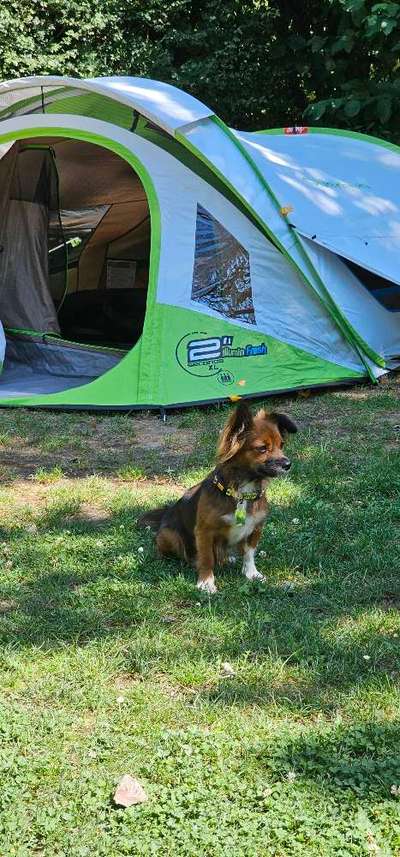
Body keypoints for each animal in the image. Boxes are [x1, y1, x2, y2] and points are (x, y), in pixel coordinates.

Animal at [141, 402, 296, 592]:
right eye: (262, 448)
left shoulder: (256, 527)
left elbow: (249, 554)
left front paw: (251, 574)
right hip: (169, 536)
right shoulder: (204, 532)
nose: (288, 464)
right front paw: (206, 582)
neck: (241, 492)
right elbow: (207, 558)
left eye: (281, 445)